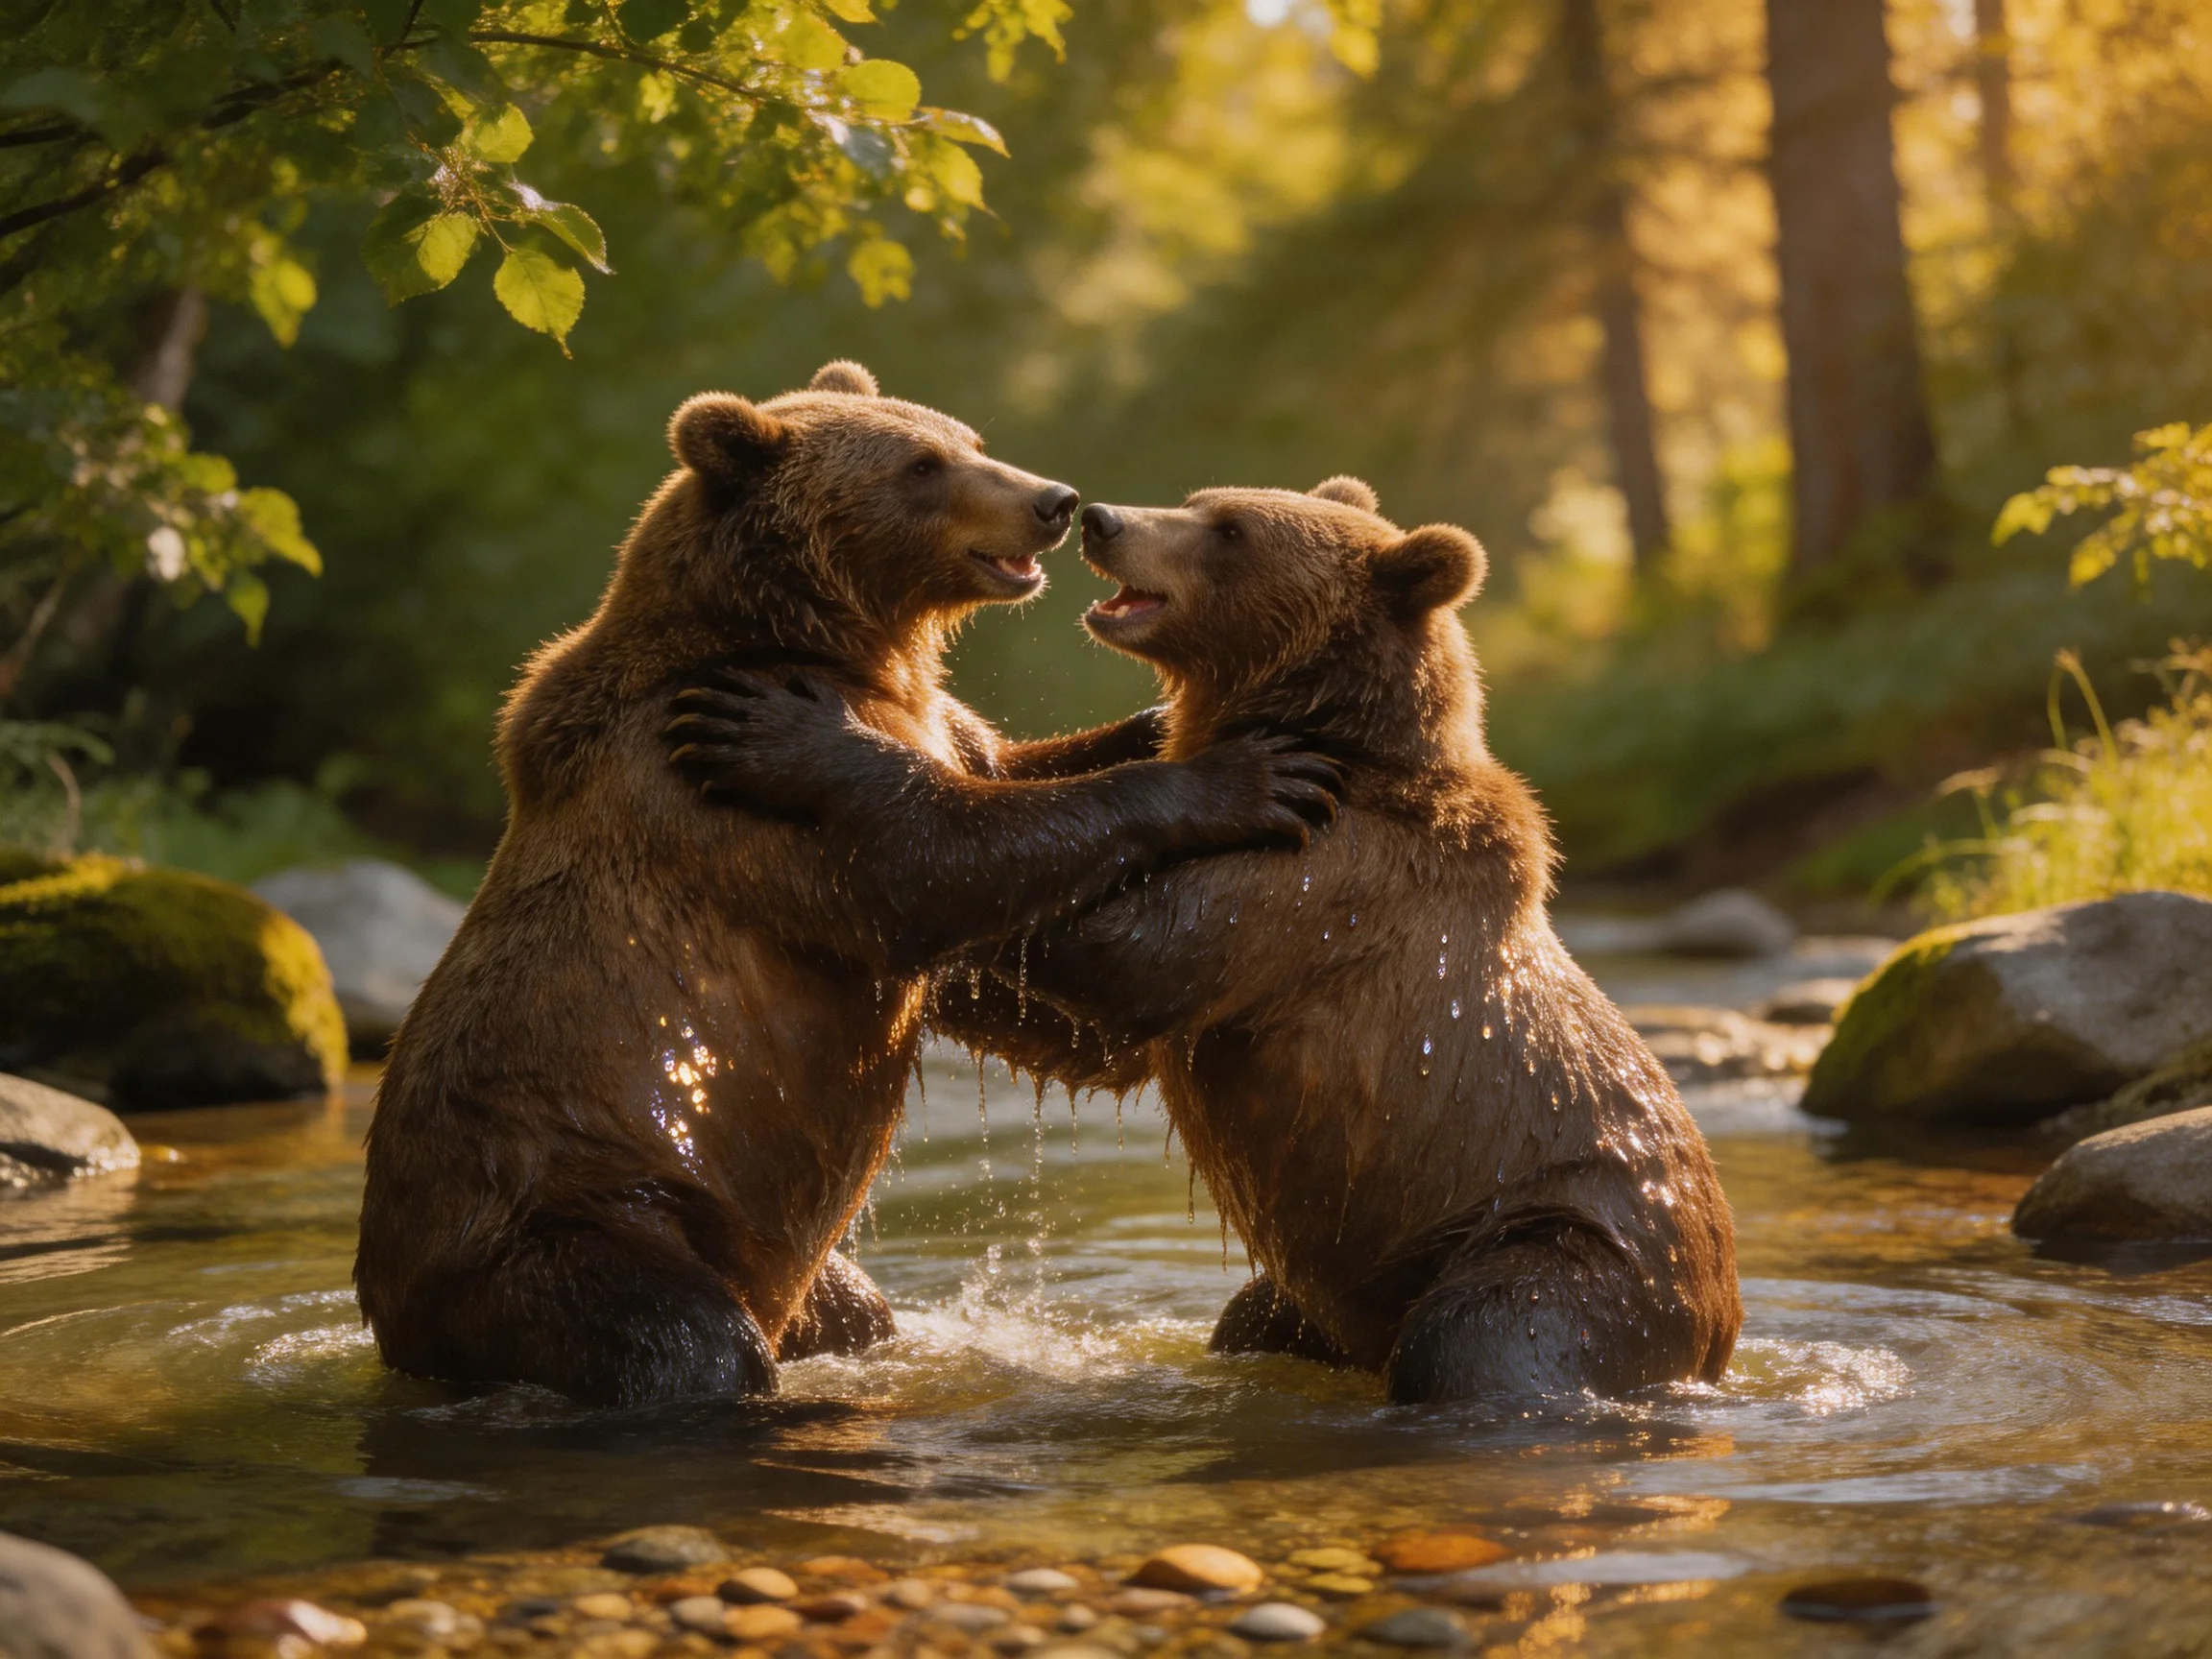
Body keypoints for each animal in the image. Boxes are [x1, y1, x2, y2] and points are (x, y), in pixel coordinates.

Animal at [353, 363, 1341, 1407]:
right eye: (922, 465)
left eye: (967, 437)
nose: (1055, 502)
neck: (822, 641)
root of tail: (395, 1316)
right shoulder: (703, 784)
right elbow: (934, 862)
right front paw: (1239, 773)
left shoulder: (927, 719)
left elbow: (999, 780)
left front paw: (1159, 723)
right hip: (572, 1212)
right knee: (676, 1335)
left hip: (771, 1259)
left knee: (852, 1305)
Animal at [660, 474, 1743, 1405]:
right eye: (1199, 500)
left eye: (1230, 529)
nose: (1101, 518)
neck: (1331, 736)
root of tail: (1723, 1325)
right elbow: (1089, 1032)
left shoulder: (1324, 878)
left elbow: (1128, 951)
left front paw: (789, 730)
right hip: (1333, 1291)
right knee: (1257, 1316)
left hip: (1563, 1239)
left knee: (1486, 1338)